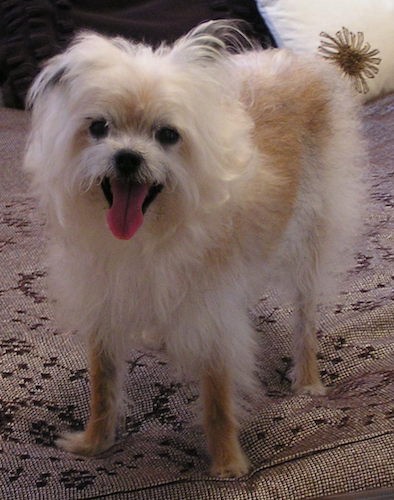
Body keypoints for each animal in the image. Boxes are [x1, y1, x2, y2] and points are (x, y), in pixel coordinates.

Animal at [23, 21, 364, 478]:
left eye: (168, 135)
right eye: (98, 128)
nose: (127, 157)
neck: (149, 234)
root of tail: (294, 60)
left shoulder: (212, 312)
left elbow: (218, 396)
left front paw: (228, 464)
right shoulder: (104, 298)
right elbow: (102, 382)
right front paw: (94, 443)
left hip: (310, 245)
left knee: (305, 320)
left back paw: (308, 378)